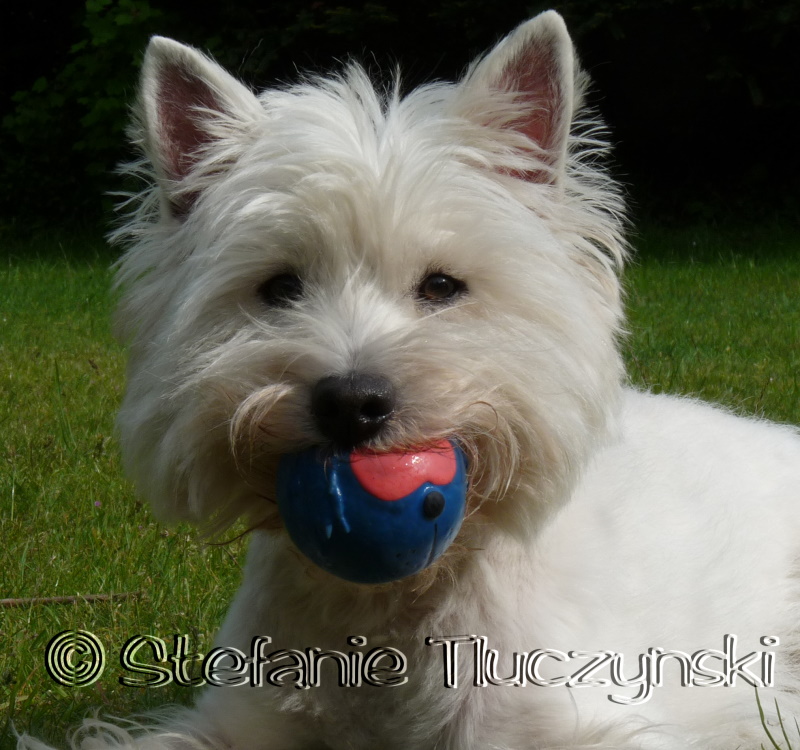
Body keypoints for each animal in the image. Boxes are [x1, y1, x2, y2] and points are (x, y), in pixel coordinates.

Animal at [17, 10, 800, 750]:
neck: (388, 604)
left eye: (443, 286)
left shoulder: (571, 718)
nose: (352, 402)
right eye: (279, 287)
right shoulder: (240, 715)